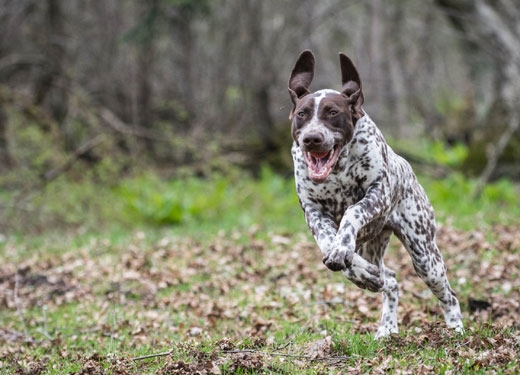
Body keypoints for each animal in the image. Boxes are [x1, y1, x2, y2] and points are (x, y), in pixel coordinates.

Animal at [288, 48, 464, 340]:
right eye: (302, 114)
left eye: (333, 112)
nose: (312, 139)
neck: (338, 168)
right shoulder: (313, 211)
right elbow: (328, 242)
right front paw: (349, 261)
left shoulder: (377, 195)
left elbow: (352, 211)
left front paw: (342, 249)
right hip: (373, 246)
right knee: (389, 279)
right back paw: (386, 325)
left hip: (425, 257)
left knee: (449, 295)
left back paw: (456, 329)